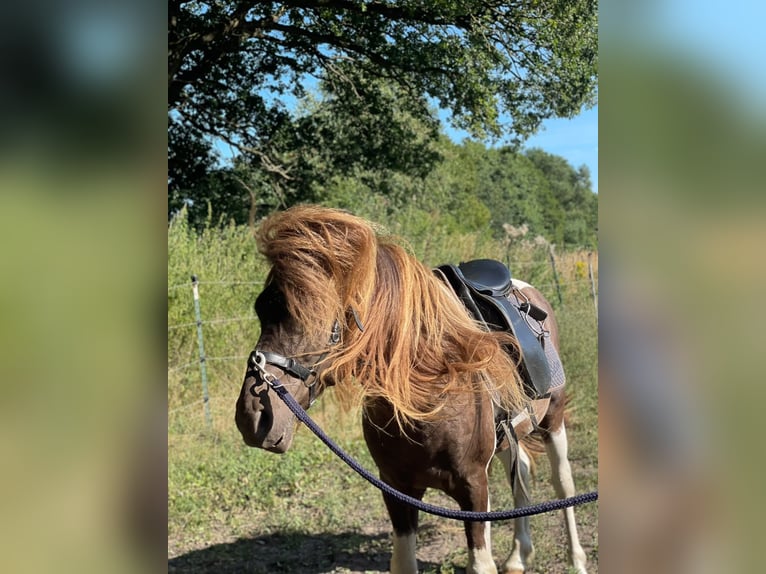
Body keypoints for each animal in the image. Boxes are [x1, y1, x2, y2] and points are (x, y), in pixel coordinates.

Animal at [235, 205, 589, 574]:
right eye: (260, 309)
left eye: (326, 323)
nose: (252, 417)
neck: (428, 399)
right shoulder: (396, 488)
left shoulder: (474, 488)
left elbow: (480, 561)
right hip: (510, 433)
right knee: (520, 473)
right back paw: (518, 556)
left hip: (552, 421)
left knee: (563, 484)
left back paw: (576, 560)